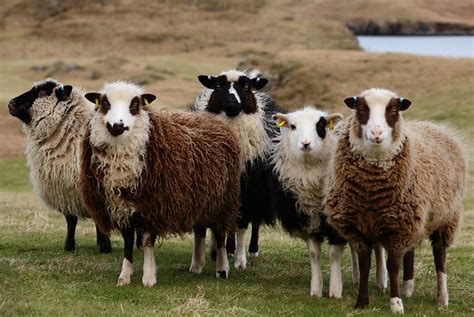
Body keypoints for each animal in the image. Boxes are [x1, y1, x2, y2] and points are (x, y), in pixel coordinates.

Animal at [81, 81, 241, 284]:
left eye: (135, 105)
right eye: (104, 104)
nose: (117, 125)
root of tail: (214, 121)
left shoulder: (153, 204)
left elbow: (147, 241)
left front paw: (149, 278)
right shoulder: (120, 206)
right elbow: (127, 241)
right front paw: (124, 276)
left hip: (223, 201)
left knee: (220, 235)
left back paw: (222, 268)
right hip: (200, 197)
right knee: (200, 231)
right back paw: (196, 266)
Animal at [326, 87, 466, 312]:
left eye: (393, 111)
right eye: (362, 109)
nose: (376, 134)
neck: (371, 192)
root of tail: (433, 126)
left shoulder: (399, 228)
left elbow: (393, 265)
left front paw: (396, 303)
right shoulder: (358, 227)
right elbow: (365, 264)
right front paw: (362, 302)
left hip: (446, 219)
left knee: (440, 256)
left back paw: (442, 298)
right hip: (415, 219)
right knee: (410, 252)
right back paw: (408, 287)